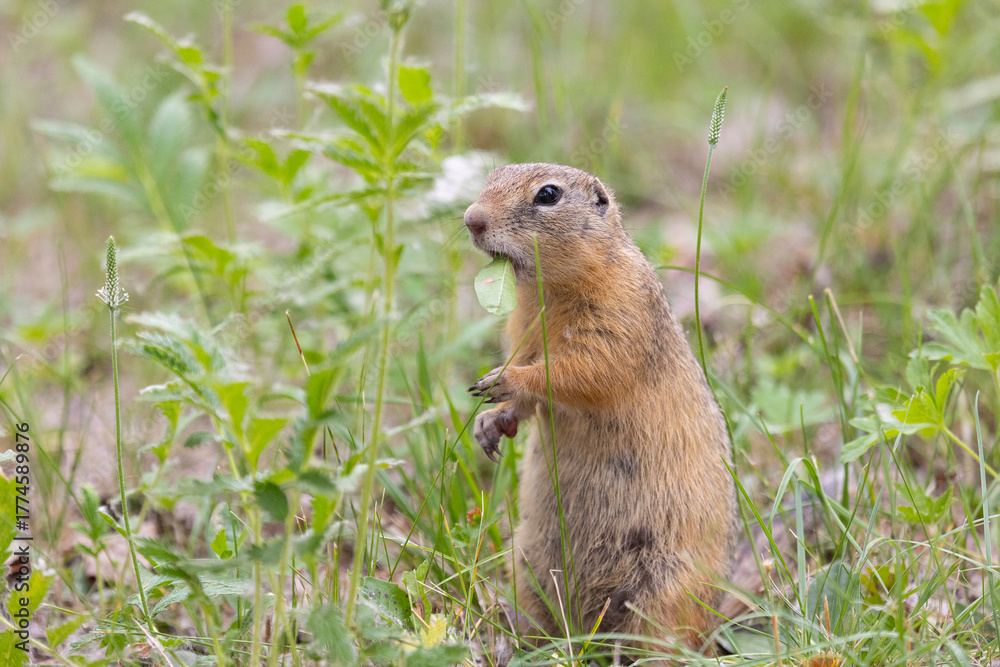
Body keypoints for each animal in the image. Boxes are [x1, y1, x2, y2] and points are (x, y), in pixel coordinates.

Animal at [465, 163, 738, 654]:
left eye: (548, 195)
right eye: (492, 175)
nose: (471, 219)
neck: (549, 290)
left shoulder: (619, 313)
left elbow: (579, 370)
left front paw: (502, 381)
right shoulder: (521, 326)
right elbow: (533, 397)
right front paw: (489, 424)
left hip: (665, 589)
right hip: (528, 564)